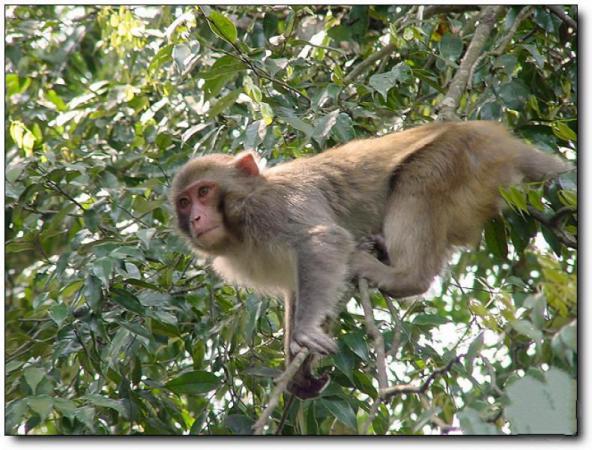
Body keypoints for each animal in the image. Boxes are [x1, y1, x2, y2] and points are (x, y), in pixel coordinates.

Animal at [169, 119, 572, 398]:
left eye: (205, 192)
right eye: (185, 202)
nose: (197, 219)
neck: (238, 225)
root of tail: (497, 137)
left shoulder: (272, 209)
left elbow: (323, 241)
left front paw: (303, 331)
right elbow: (296, 288)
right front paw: (298, 366)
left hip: (461, 155)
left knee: (417, 180)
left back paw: (403, 276)